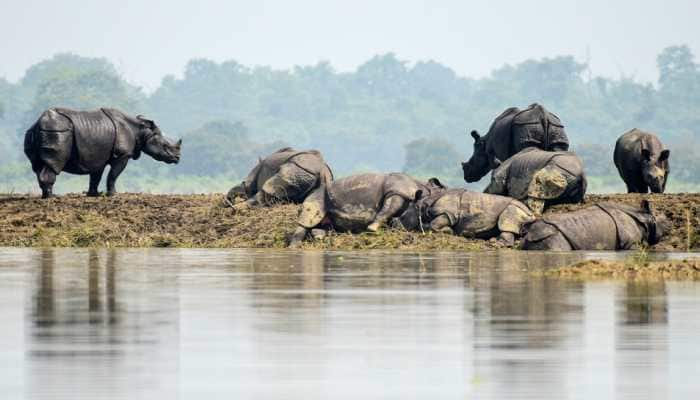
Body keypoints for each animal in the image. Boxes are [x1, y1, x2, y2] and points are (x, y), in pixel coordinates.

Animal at [25, 108, 180, 198]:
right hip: (57, 132)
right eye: (166, 146)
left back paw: (46, 195)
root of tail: (39, 123)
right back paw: (53, 197)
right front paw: (113, 194)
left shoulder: (97, 156)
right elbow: (113, 175)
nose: (177, 158)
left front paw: (94, 194)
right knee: (53, 164)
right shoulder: (122, 155)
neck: (141, 131)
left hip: (36, 132)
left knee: (38, 166)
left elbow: (96, 176)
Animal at [288, 173, 442, 247]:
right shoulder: (396, 191)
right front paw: (372, 229)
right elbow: (388, 208)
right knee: (309, 217)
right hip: (318, 195)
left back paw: (318, 236)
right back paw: (294, 246)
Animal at [394, 188, 536, 245]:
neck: (424, 205)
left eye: (403, 217)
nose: (394, 227)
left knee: (506, 219)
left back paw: (496, 243)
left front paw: (449, 231)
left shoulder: (448, 213)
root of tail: (532, 214)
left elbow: (434, 224)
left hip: (514, 208)